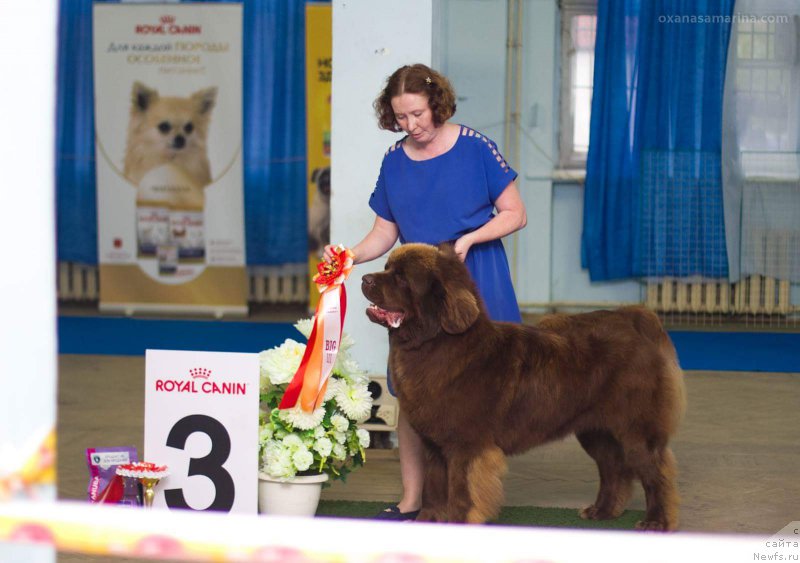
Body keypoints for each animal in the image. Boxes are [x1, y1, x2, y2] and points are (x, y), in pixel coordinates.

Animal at [360, 245, 684, 532]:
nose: (365, 278)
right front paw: (427, 523)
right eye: (387, 267)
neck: (437, 344)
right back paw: (601, 511)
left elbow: (462, 492)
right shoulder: (435, 445)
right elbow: (434, 490)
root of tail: (635, 318)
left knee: (657, 472)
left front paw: (459, 523)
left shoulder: (466, 445)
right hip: (595, 430)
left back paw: (657, 521)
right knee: (613, 467)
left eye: (402, 278)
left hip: (636, 428)